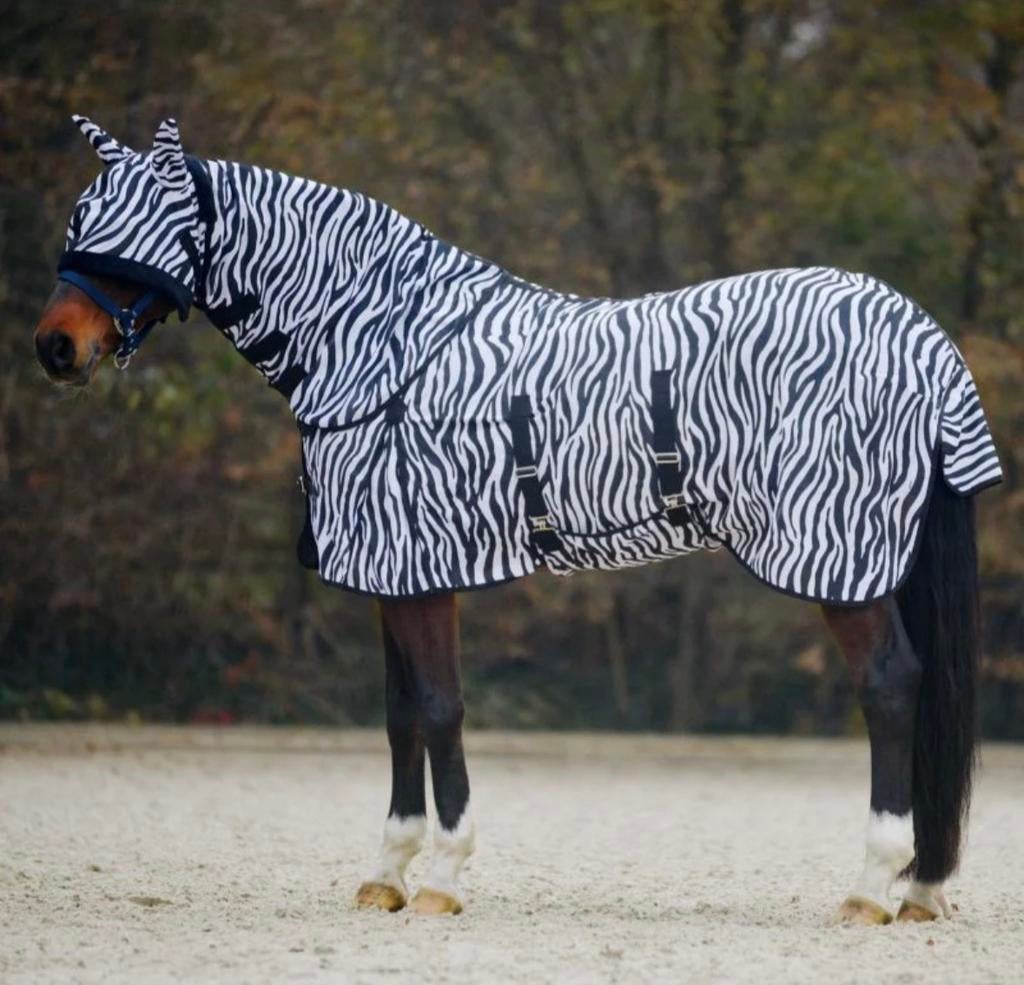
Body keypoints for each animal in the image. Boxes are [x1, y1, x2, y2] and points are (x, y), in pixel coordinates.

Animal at [33, 115, 1002, 923]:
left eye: (132, 230)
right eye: (82, 214)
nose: (55, 348)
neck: (383, 347)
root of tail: (923, 339)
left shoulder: (422, 567)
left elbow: (439, 707)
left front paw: (442, 877)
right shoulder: (393, 573)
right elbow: (400, 712)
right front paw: (386, 873)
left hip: (844, 560)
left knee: (890, 687)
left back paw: (872, 887)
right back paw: (920, 888)